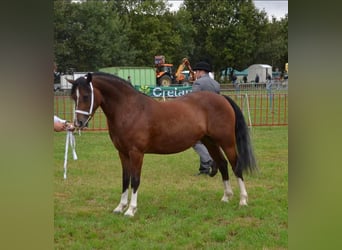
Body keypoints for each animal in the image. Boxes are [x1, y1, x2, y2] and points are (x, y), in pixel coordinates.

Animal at [68, 72, 256, 217]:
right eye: (73, 97)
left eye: (86, 96)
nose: (78, 123)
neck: (130, 110)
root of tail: (221, 98)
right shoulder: (122, 153)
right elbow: (125, 179)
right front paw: (120, 207)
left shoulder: (136, 153)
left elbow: (135, 180)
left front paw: (131, 210)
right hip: (210, 142)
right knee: (223, 164)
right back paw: (226, 197)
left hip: (227, 142)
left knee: (236, 166)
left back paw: (243, 200)